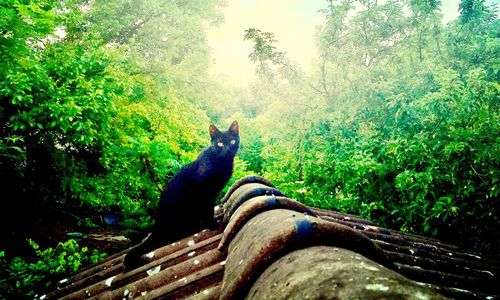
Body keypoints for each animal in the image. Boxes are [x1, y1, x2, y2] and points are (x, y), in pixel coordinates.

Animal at [122, 120, 237, 270]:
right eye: (220, 144)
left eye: (232, 141)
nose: (228, 149)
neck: (222, 163)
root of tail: (156, 230)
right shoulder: (204, 193)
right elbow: (207, 210)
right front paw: (211, 224)